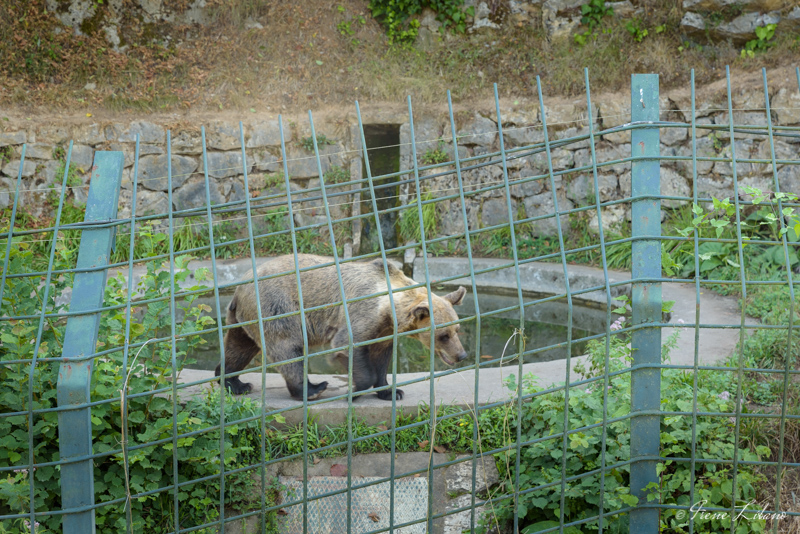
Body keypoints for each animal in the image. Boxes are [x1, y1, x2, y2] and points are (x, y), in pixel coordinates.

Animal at [216, 255, 472, 402]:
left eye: (457, 329)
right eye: (443, 335)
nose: (461, 355)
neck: (389, 308)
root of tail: (240, 287)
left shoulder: (384, 330)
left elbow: (381, 356)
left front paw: (391, 391)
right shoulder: (362, 313)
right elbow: (348, 346)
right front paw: (357, 388)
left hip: (241, 316)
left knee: (239, 345)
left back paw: (234, 382)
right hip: (277, 306)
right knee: (287, 347)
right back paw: (312, 388)